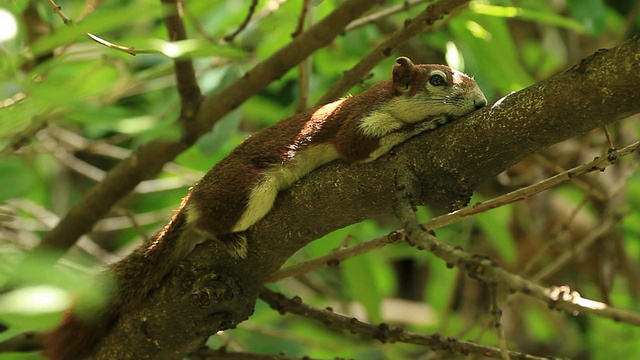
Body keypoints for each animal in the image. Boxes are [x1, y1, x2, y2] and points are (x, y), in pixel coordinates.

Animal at [43, 57, 484, 358]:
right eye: (437, 79)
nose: (481, 103)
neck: (387, 99)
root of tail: (189, 201)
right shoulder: (356, 125)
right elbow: (361, 146)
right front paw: (425, 124)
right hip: (247, 189)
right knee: (208, 220)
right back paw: (227, 237)